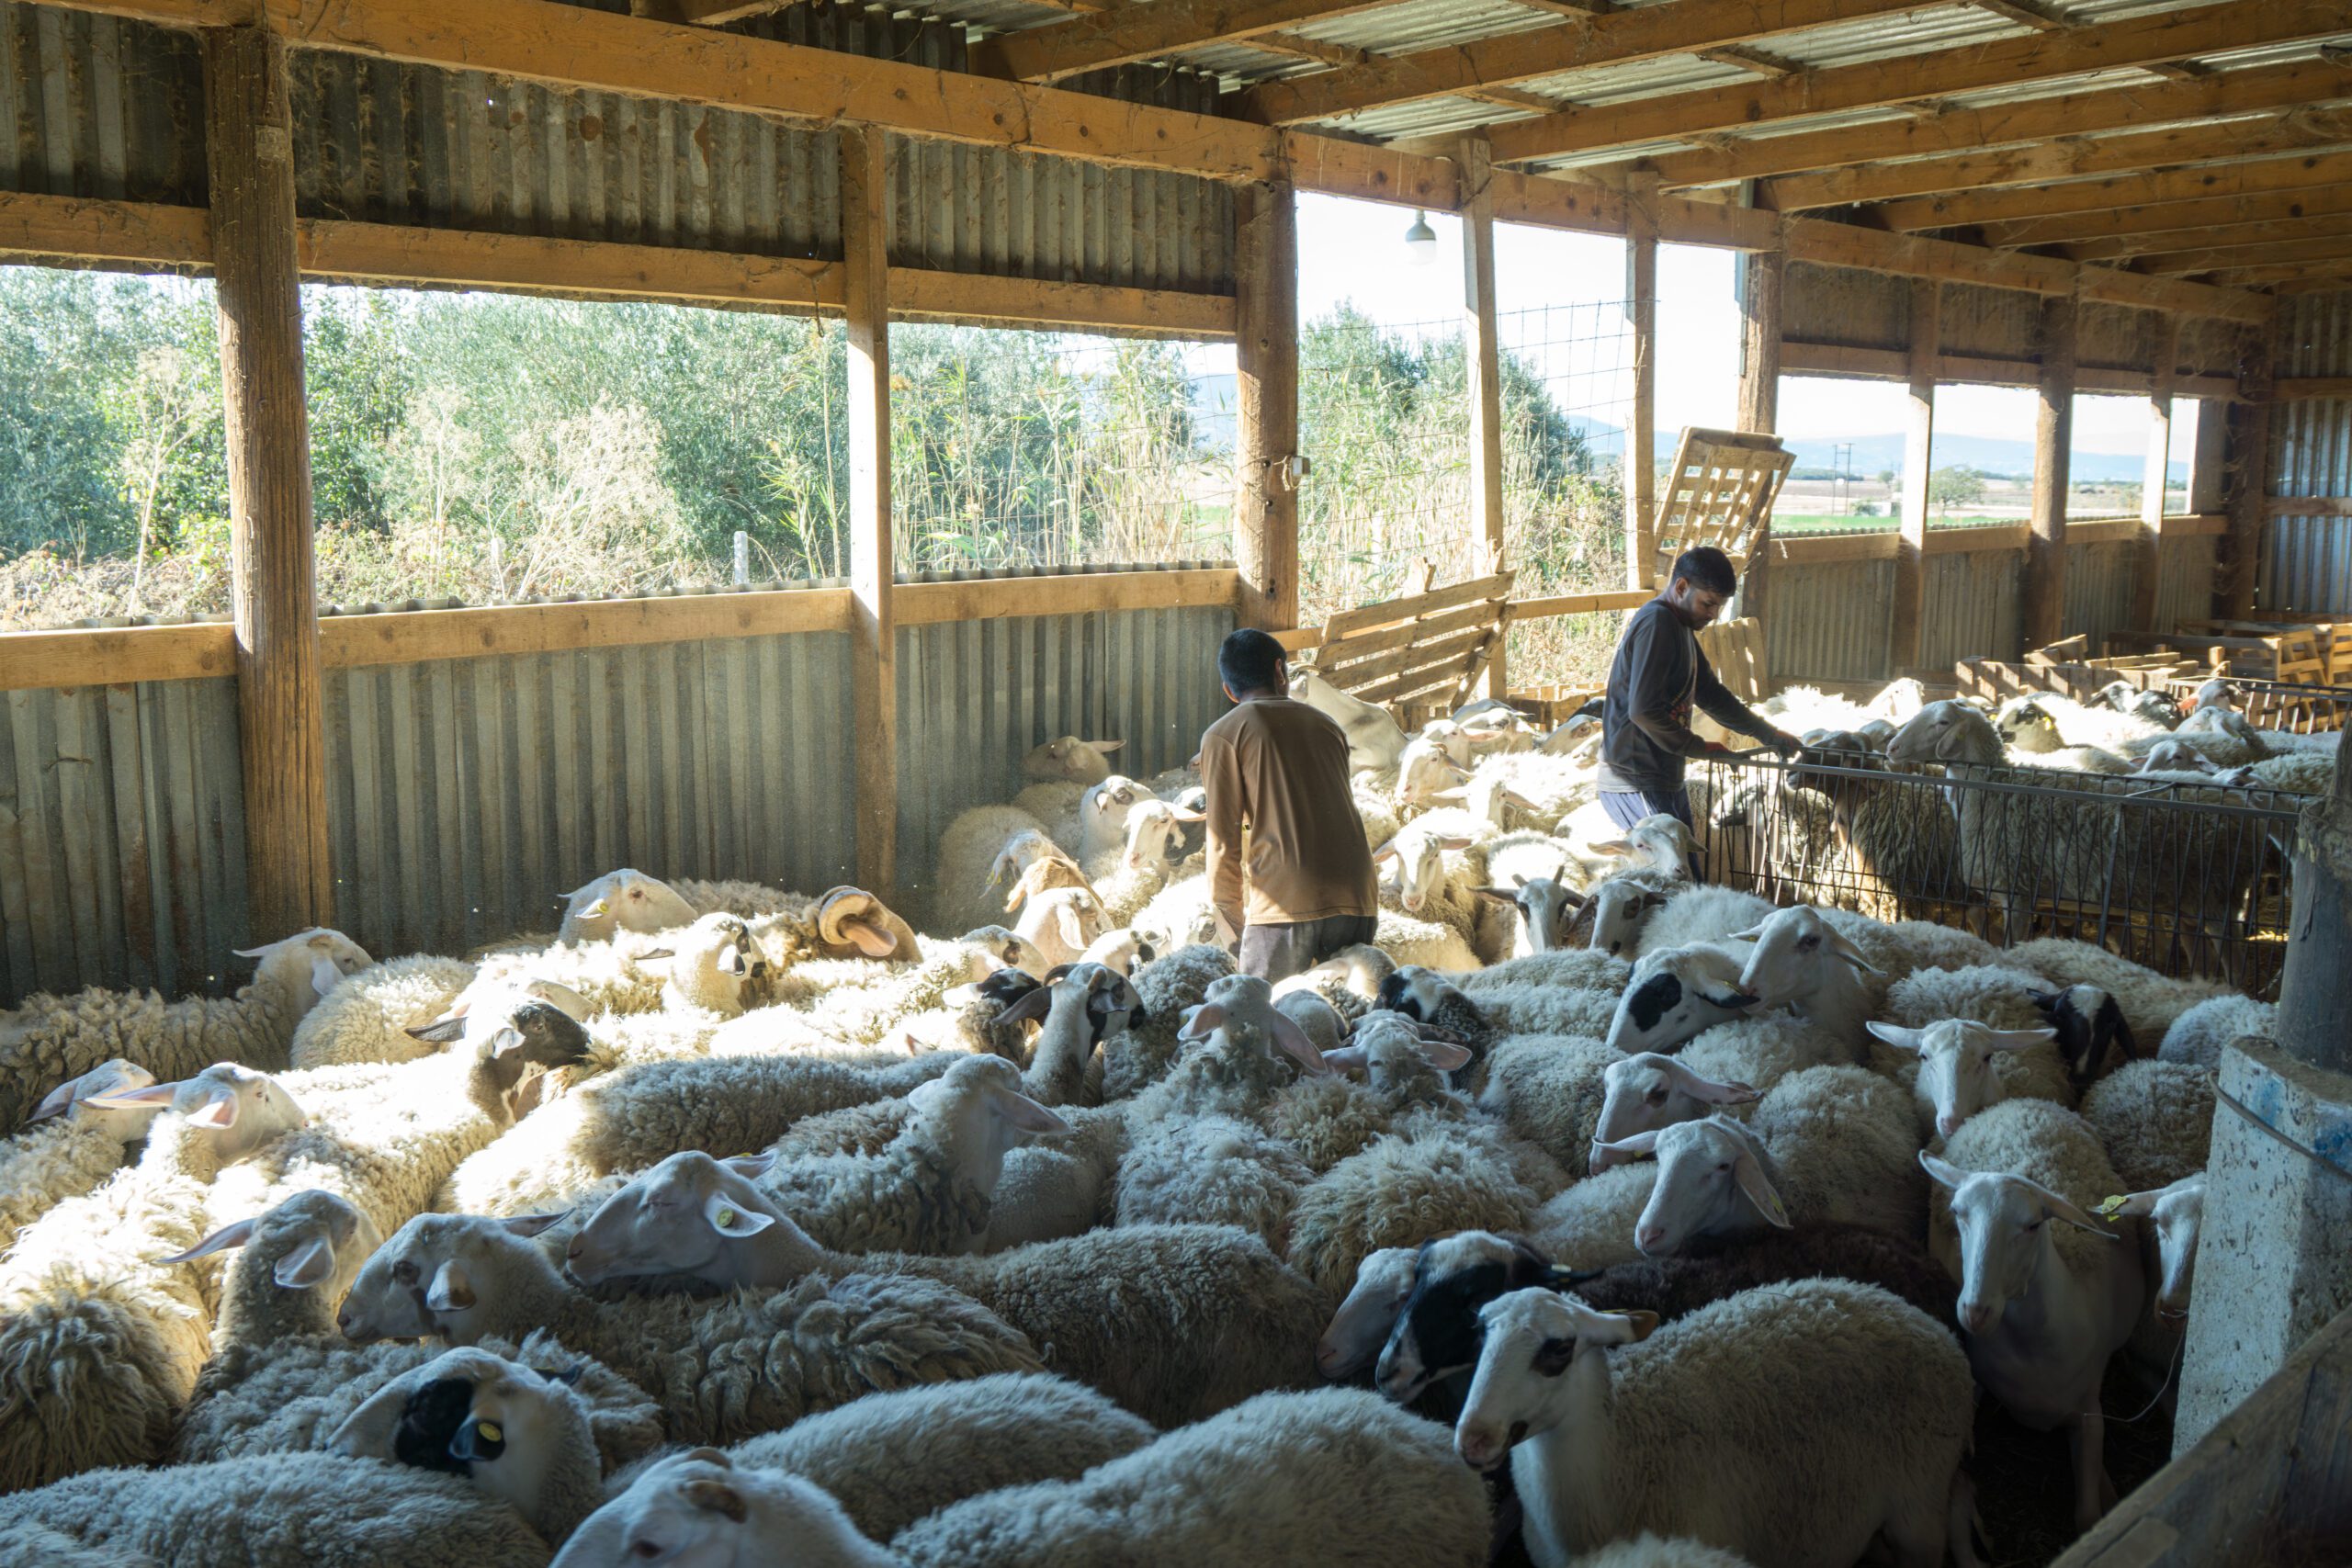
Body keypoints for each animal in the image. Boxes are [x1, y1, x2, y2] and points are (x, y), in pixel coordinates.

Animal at [1918, 1100, 2144, 1523]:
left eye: (2034, 1225)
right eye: (1958, 1213)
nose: (1976, 1312)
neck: (2032, 1354)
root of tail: (2021, 1103)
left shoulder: (2089, 1414)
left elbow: (2087, 1516)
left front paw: (2105, 1493)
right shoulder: (1975, 1386)